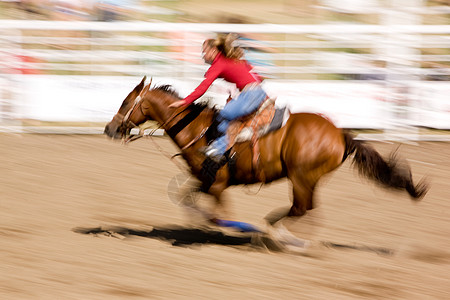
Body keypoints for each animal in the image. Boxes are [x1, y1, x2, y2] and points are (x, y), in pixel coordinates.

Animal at [104, 77, 428, 248]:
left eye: (125, 102)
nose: (110, 129)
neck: (201, 130)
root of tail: (340, 134)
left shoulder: (217, 185)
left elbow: (216, 216)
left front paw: (236, 229)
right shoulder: (203, 181)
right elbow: (185, 198)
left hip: (301, 177)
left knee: (300, 208)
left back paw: (275, 235)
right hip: (308, 179)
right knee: (308, 209)